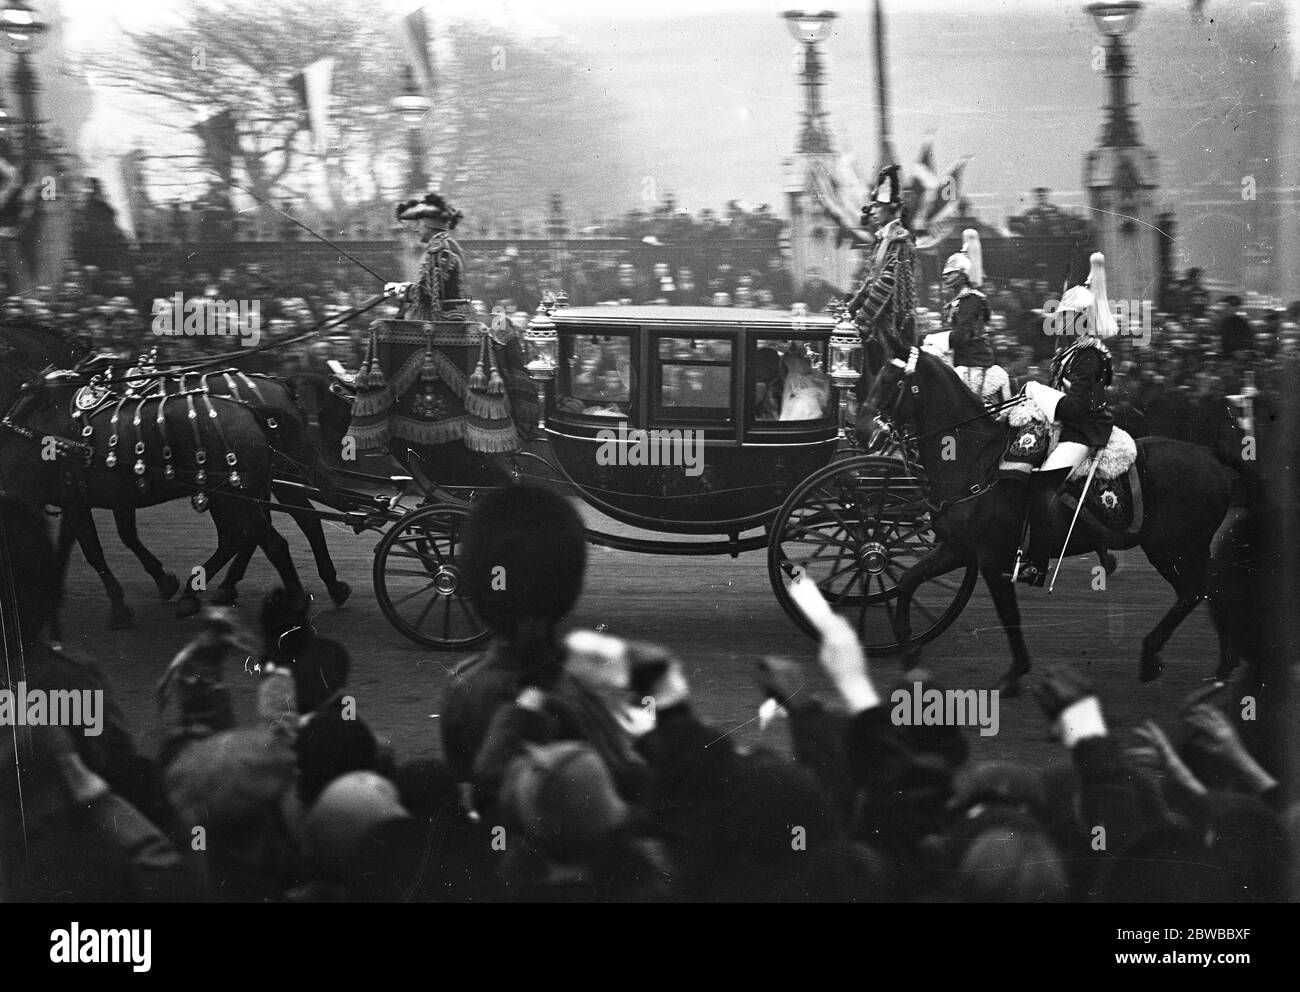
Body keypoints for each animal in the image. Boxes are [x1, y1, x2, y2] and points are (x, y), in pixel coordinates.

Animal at [863, 340, 1248, 696]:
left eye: (892, 380)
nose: (866, 432)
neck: (974, 460)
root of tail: (1210, 453)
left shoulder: (991, 560)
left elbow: (1009, 617)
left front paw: (1015, 673)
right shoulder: (956, 549)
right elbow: (908, 580)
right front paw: (909, 652)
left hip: (1172, 548)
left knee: (1193, 592)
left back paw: (1155, 656)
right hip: (1187, 548)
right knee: (1211, 590)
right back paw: (1222, 667)